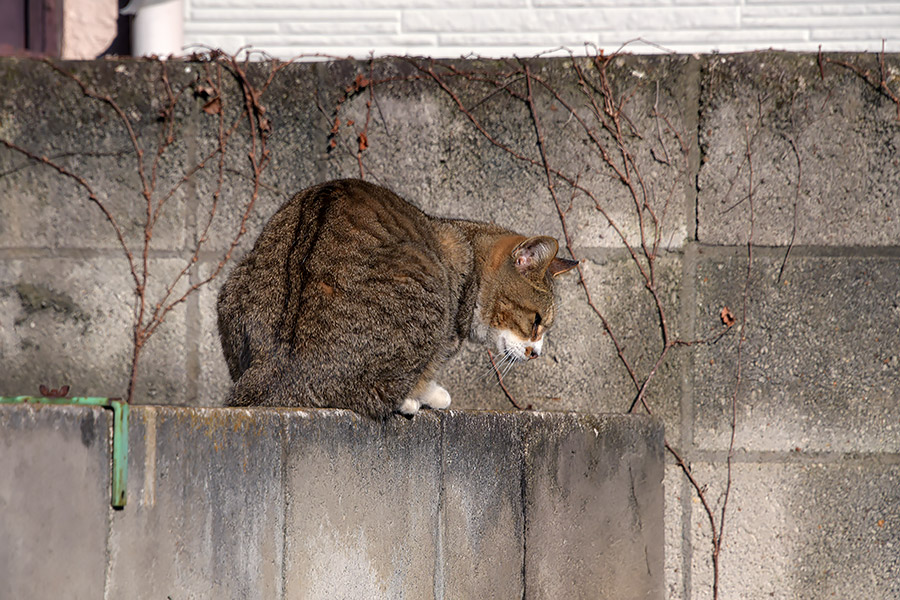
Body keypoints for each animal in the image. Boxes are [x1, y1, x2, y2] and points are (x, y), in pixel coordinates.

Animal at [221, 180, 580, 420]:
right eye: (536, 321)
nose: (537, 353)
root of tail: (278, 377)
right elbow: (426, 368)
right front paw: (425, 395)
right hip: (424, 280)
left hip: (232, 283)